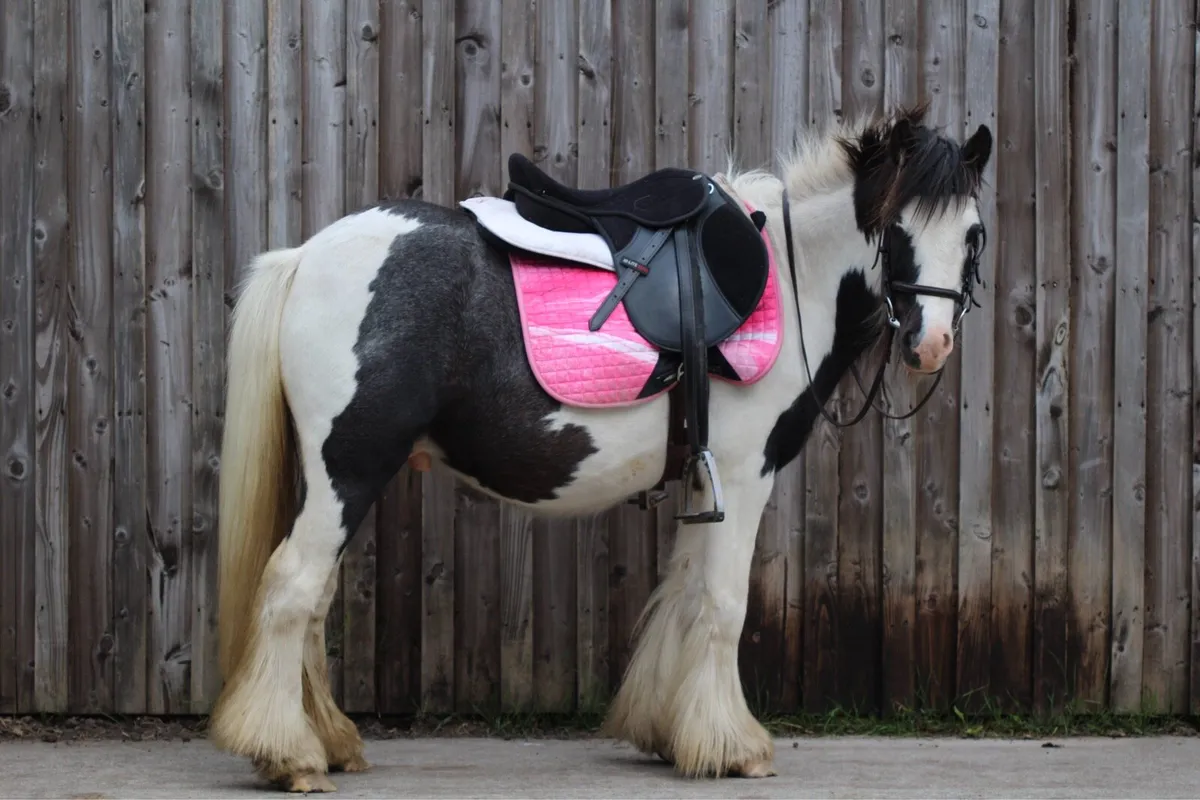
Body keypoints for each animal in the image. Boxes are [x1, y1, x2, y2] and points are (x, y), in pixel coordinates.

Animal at [207, 104, 992, 792]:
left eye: (974, 235)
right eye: (895, 228)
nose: (931, 345)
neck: (792, 276)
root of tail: (305, 257)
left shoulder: (704, 478)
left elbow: (684, 593)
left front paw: (669, 733)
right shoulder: (744, 475)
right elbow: (723, 603)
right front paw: (732, 747)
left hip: (336, 479)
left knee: (314, 600)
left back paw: (329, 741)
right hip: (351, 469)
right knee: (292, 590)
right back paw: (290, 757)